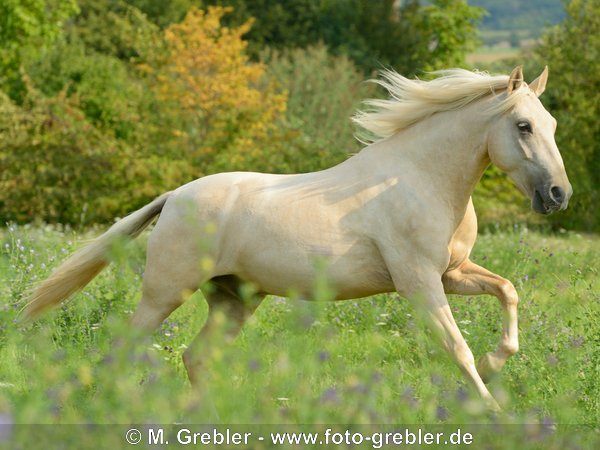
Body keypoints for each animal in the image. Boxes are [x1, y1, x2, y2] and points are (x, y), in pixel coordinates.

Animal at [24, 66, 572, 408]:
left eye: (551, 123)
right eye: (523, 125)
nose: (558, 194)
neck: (420, 178)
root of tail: (175, 196)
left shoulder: (452, 274)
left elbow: (508, 291)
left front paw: (497, 363)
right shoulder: (419, 282)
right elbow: (456, 347)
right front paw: (491, 411)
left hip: (234, 300)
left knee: (194, 357)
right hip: (166, 292)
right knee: (124, 347)